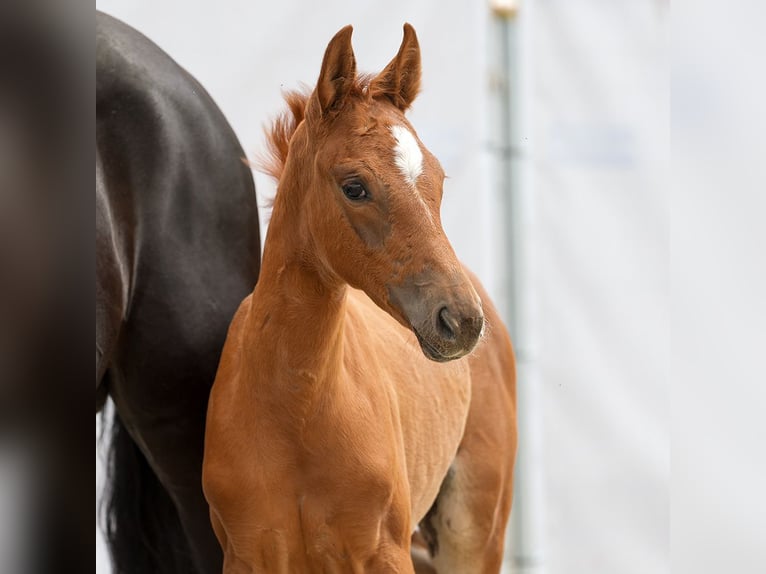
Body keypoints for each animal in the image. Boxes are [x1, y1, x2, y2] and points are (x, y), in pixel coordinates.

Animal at [201, 24, 520, 572]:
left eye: (439, 180)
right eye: (355, 187)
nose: (461, 320)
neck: (297, 411)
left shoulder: (384, 552)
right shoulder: (247, 554)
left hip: (475, 532)